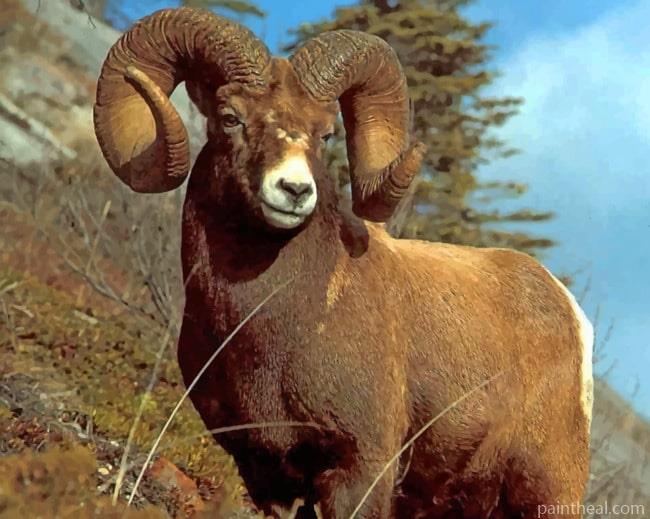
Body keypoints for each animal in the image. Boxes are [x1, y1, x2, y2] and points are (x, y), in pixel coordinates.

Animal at [93, 7, 594, 518]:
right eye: (230, 118)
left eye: (326, 132)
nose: (294, 190)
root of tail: (569, 312)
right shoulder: (266, 476)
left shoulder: (359, 472)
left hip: (546, 491)